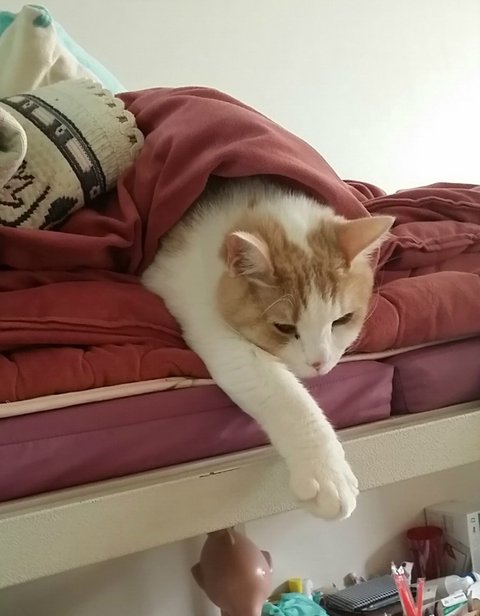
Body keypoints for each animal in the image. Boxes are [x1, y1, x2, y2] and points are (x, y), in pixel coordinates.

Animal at [142, 177, 393, 519]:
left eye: (342, 319)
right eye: (284, 328)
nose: (319, 363)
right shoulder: (208, 316)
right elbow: (285, 395)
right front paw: (327, 473)